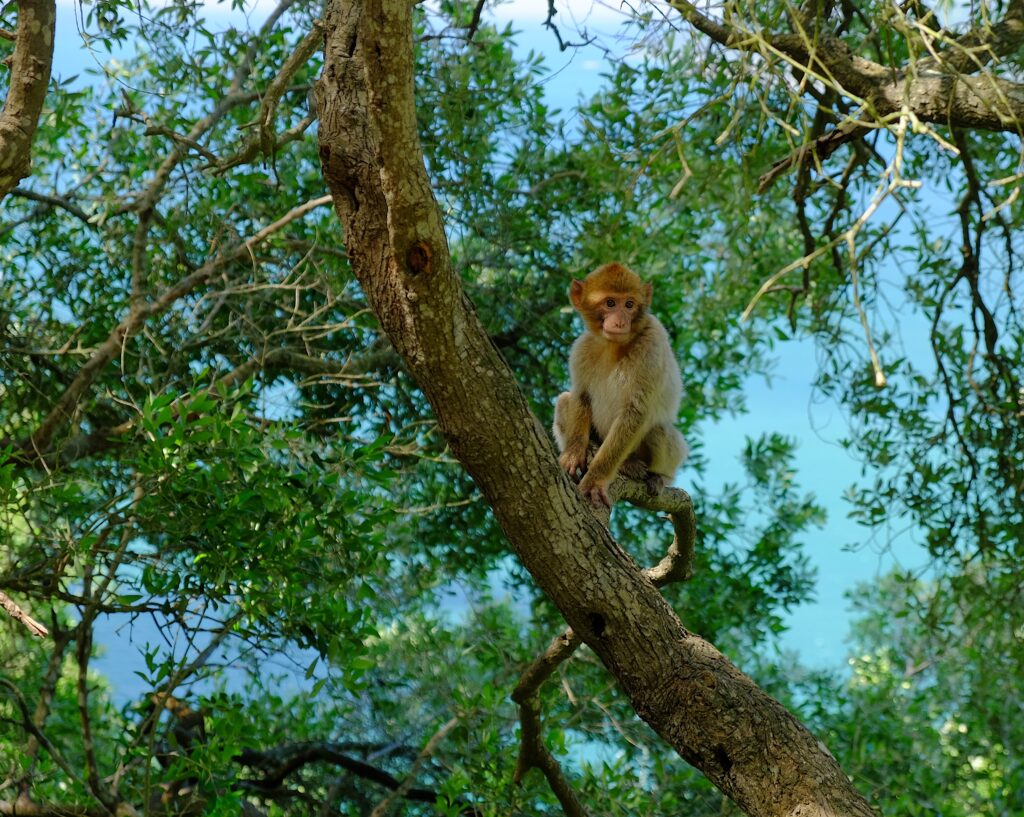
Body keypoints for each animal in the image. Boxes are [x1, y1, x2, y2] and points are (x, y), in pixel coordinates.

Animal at [553, 262, 687, 509]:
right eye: (610, 303)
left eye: (629, 305)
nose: (620, 321)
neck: (612, 346)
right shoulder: (582, 348)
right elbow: (581, 396)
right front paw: (573, 454)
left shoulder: (653, 342)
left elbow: (636, 411)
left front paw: (595, 480)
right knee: (564, 399)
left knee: (659, 429)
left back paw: (651, 473)